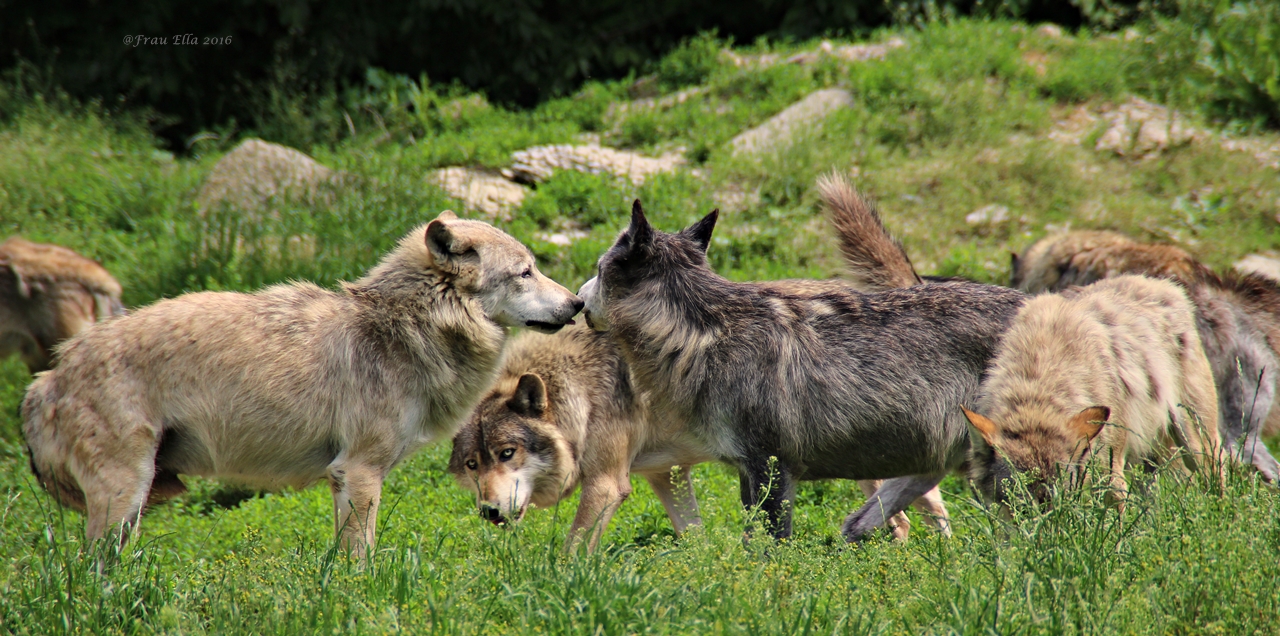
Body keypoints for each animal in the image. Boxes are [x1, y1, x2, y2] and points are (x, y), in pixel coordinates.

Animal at [22, 209, 583, 555]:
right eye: (525, 272)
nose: (578, 303)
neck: (407, 329)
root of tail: (47, 378)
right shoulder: (360, 471)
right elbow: (362, 559)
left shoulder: (343, 479)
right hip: (125, 497)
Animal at [581, 198, 1029, 540]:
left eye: (599, 269)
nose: (579, 299)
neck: (702, 332)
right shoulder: (747, 471)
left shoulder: (771, 470)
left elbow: (767, 551)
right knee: (894, 504)